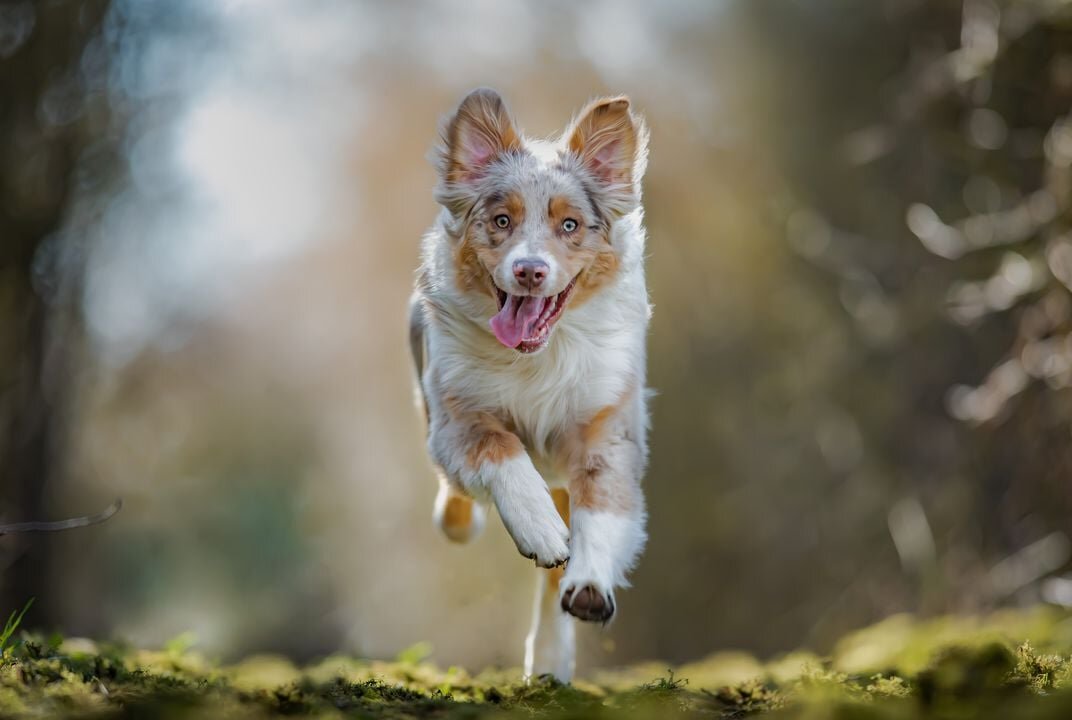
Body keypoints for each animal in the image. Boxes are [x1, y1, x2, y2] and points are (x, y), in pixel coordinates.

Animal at [407, 88, 643, 681]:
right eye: (501, 220)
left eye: (570, 226)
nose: (530, 271)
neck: (537, 359)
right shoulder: (455, 415)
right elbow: (500, 448)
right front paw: (537, 529)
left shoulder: (608, 428)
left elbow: (601, 506)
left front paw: (589, 582)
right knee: (459, 499)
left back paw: (551, 659)